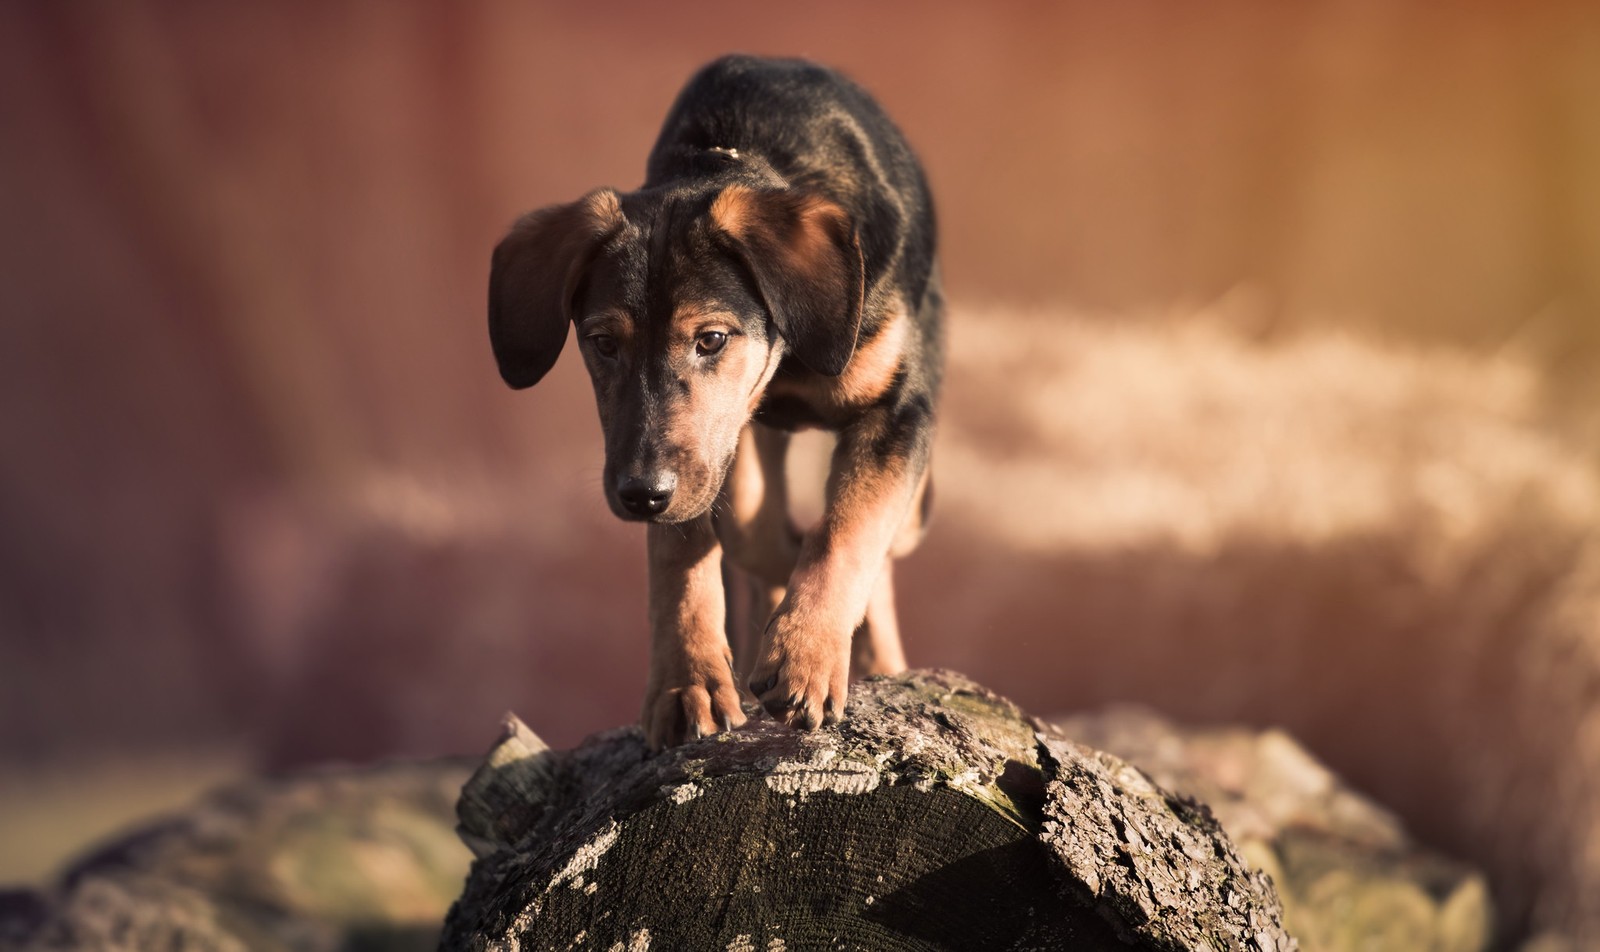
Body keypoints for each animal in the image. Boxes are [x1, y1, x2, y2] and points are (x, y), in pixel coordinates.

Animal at [486, 54, 934, 752]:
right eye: (603, 343)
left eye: (713, 339)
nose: (639, 496)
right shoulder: (686, 456)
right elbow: (687, 552)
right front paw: (686, 683)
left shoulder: (898, 409)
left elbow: (849, 529)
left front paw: (805, 657)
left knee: (884, 543)